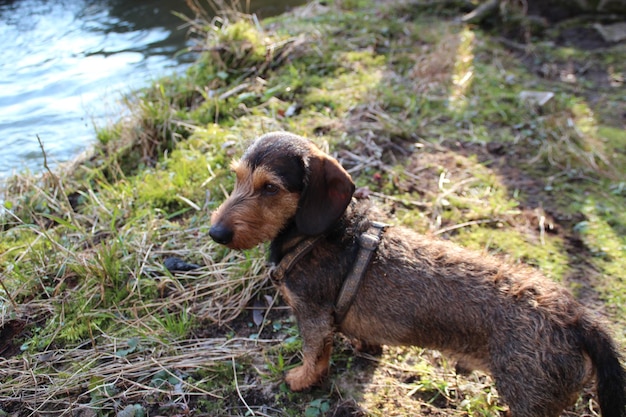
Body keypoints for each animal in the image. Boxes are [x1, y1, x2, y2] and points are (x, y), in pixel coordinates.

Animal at [210, 132, 624, 416]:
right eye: (237, 178)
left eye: (270, 188)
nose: (216, 233)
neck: (321, 236)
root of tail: (577, 317)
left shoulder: (312, 316)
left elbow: (315, 356)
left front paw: (299, 379)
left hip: (529, 398)